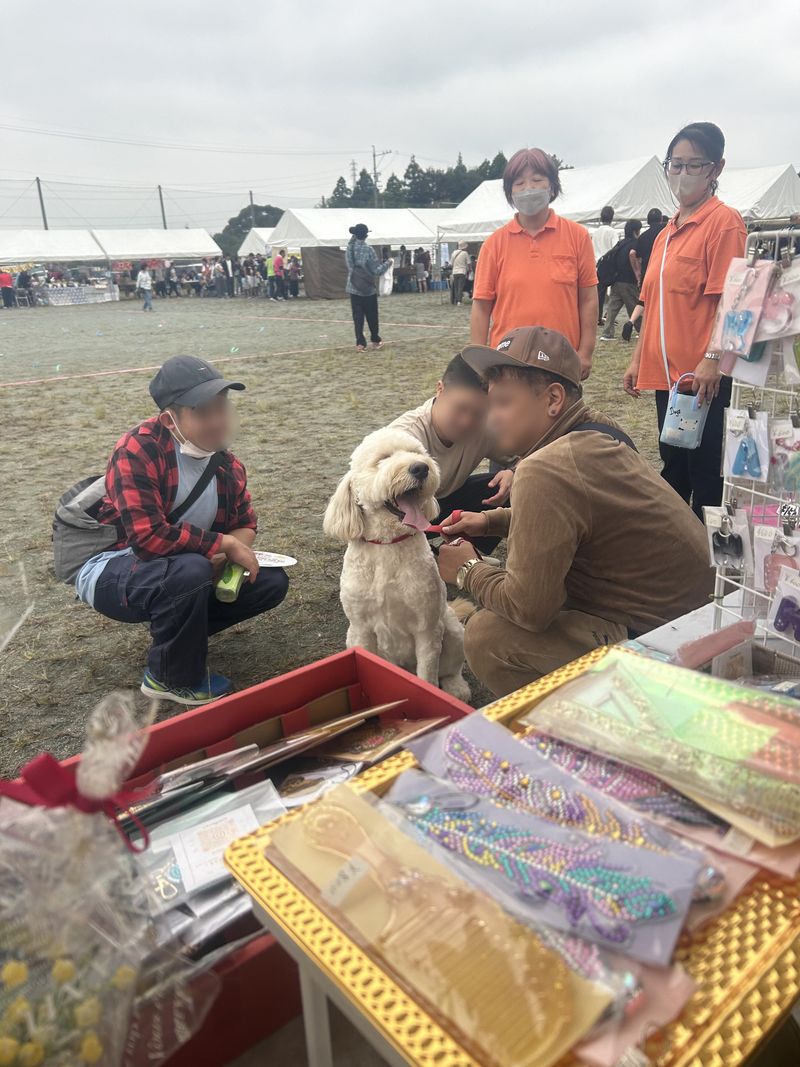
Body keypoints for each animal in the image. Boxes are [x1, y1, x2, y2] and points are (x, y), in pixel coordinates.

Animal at [324, 427, 471, 702]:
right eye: (382, 459)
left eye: (416, 452)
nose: (420, 468)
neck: (388, 544)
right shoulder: (361, 630)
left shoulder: (427, 628)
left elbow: (428, 676)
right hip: (351, 636)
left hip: (453, 630)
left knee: (451, 669)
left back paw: (457, 688)